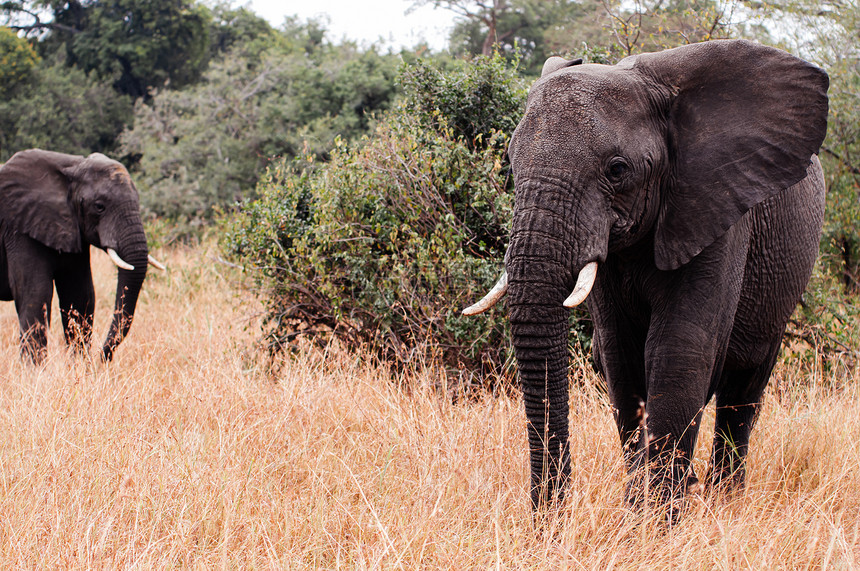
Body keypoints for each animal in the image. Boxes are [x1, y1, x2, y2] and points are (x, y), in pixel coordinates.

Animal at [0, 147, 165, 362]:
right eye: (99, 206)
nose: (102, 359)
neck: (72, 166)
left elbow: (79, 295)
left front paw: (79, 366)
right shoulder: (21, 230)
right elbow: (36, 295)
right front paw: (34, 369)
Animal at [466, 38, 828, 516]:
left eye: (617, 170)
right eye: (510, 161)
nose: (551, 519)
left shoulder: (716, 208)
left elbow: (677, 350)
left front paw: (652, 521)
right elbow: (620, 357)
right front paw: (640, 511)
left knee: (742, 392)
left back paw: (724, 502)